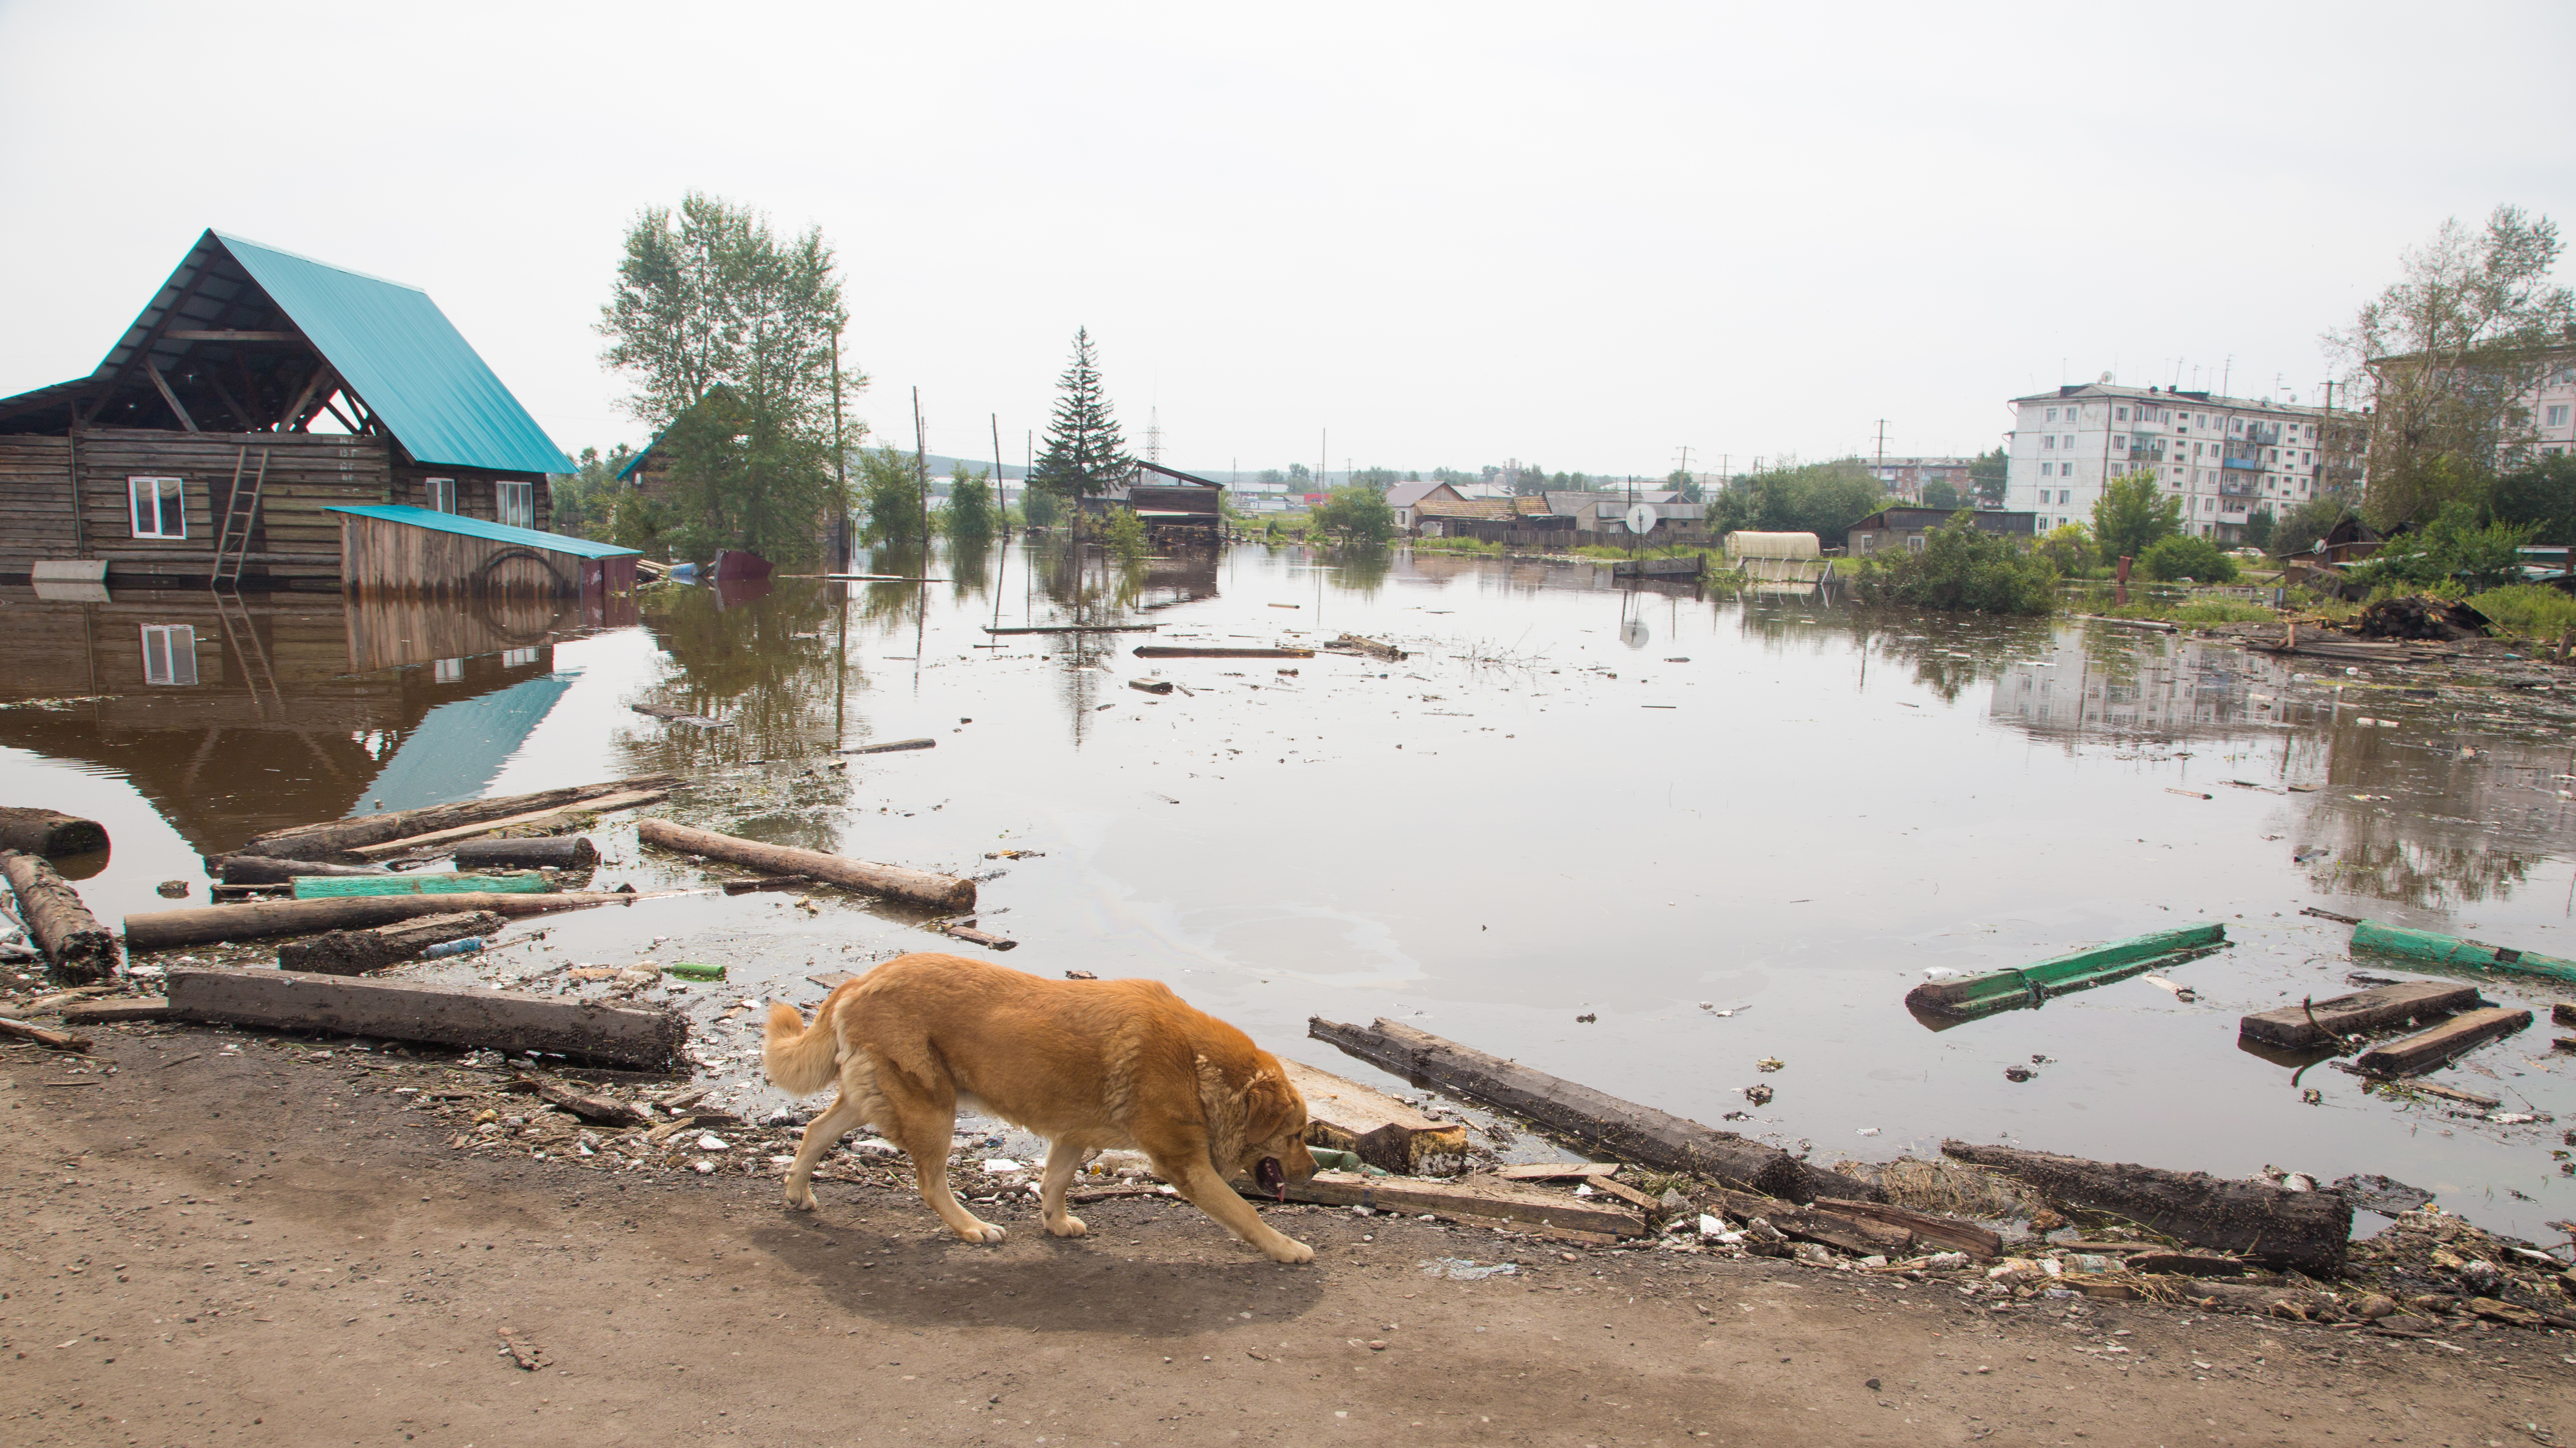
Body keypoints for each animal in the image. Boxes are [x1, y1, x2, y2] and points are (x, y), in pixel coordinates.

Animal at [757, 953, 1319, 1257]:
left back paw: (797, 1191)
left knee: (814, 1132)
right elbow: (1245, 1213)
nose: (1314, 1171)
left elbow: (1054, 1183)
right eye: (1297, 1134)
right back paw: (972, 1227)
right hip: (932, 1111)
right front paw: (1287, 1248)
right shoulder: (1187, 1165)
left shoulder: (1072, 1135)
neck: (1197, 1064)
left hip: (875, 1098)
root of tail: (859, 982)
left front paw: (1056, 1222)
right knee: (931, 1184)